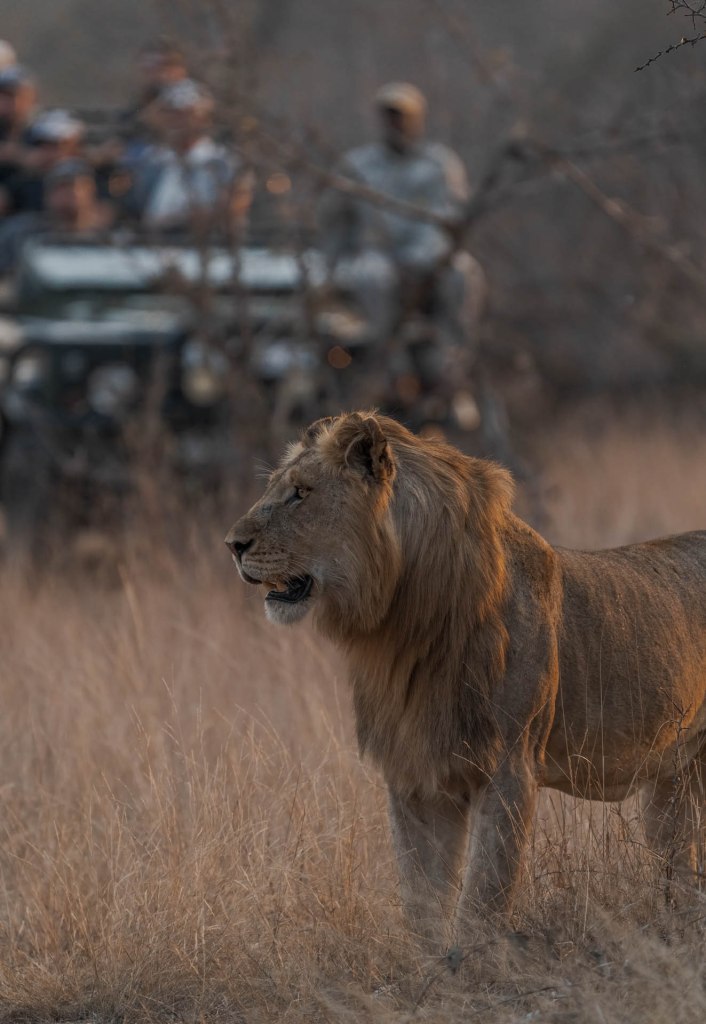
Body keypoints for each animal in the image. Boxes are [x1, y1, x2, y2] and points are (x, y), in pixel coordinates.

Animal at [225, 411, 706, 945]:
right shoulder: (416, 773)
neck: (405, 626)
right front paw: (429, 961)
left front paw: (474, 959)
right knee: (681, 866)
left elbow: (483, 897)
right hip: (674, 777)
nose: (233, 545)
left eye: (301, 493)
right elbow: (422, 899)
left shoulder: (509, 768)